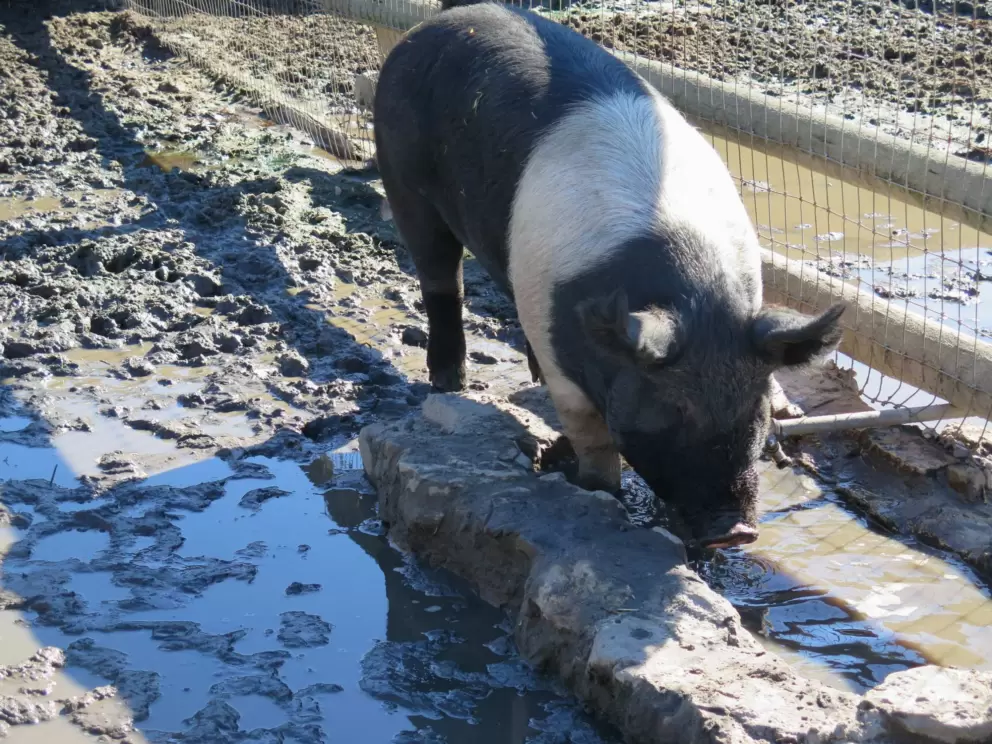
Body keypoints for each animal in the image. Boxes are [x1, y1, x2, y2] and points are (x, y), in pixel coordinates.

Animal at [372, 0, 845, 549]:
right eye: (672, 410)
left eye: (756, 406)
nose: (736, 531)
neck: (696, 298)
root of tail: (447, 19)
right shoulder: (564, 354)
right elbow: (593, 437)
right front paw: (597, 493)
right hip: (402, 175)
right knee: (440, 278)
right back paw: (450, 382)